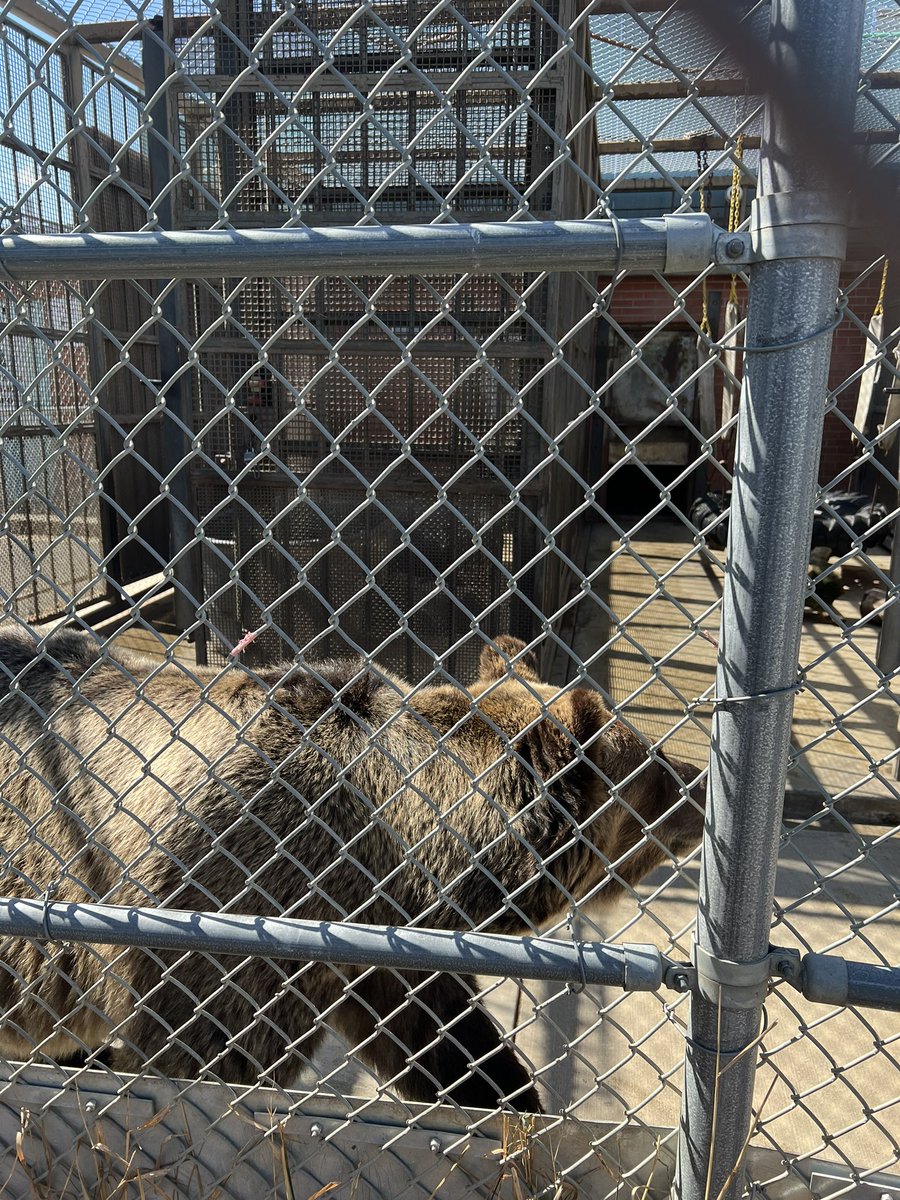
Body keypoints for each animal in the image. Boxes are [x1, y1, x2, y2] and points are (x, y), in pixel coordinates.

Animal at [0, 626, 704, 1112]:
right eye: (654, 764)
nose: (699, 782)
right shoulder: (236, 911)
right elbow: (210, 1056)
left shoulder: (375, 949)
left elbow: (441, 1039)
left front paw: (511, 1101)